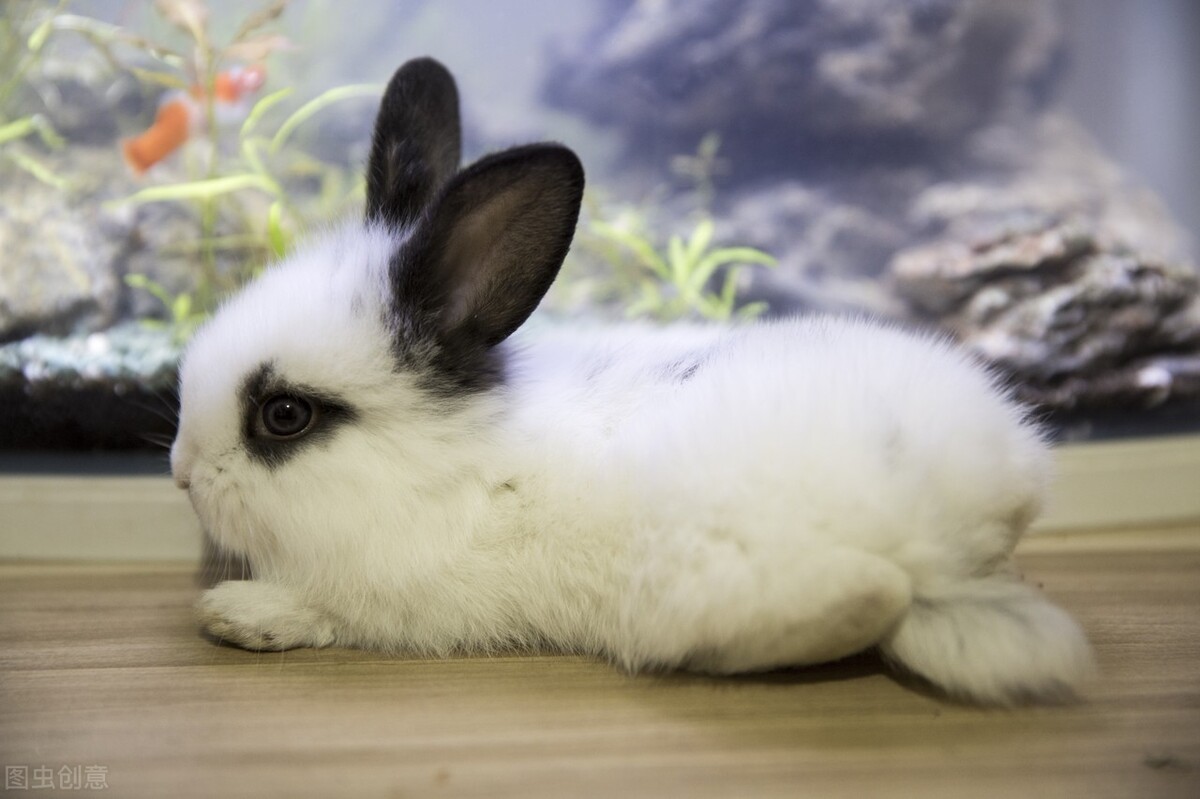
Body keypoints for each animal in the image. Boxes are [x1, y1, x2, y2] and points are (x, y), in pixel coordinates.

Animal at [171, 57, 1094, 706]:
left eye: (285, 415)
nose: (181, 473)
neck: (447, 463)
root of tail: (953, 523)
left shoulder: (393, 598)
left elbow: (324, 609)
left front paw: (235, 613)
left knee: (860, 600)